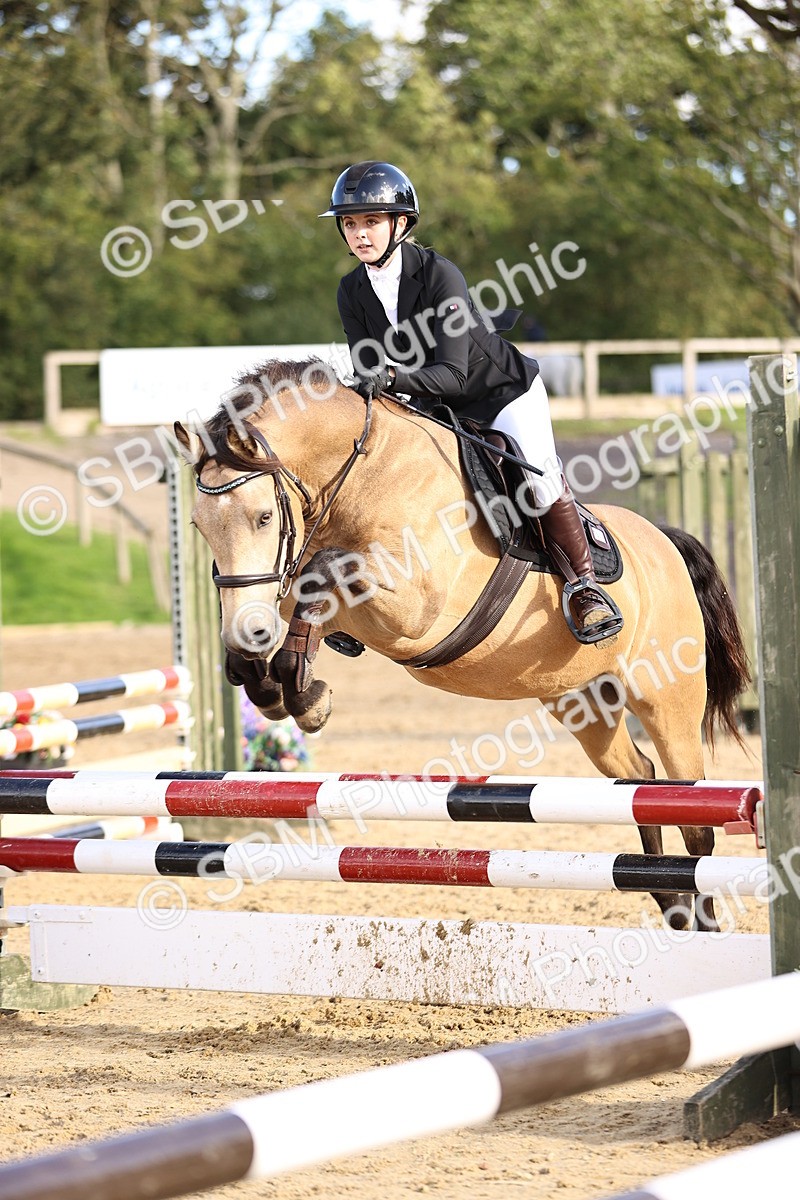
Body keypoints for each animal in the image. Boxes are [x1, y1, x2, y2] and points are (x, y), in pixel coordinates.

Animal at [175, 358, 751, 933]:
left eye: (263, 517)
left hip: (667, 696)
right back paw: (671, 900)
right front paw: (274, 681)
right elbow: (306, 595)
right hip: (584, 701)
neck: (365, 474)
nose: (246, 635)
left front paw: (299, 691)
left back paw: (702, 922)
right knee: (638, 782)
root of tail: (665, 541)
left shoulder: (416, 609)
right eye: (199, 527)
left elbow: (322, 573)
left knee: (691, 815)